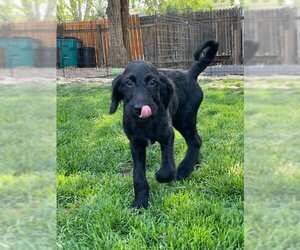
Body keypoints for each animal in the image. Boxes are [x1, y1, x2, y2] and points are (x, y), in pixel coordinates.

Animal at [109, 40, 217, 209]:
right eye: (128, 83)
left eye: (153, 82)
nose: (140, 107)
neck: (145, 123)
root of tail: (189, 74)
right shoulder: (136, 144)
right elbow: (138, 176)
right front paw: (140, 202)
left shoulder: (167, 136)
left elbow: (168, 169)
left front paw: (161, 176)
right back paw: (194, 164)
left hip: (185, 120)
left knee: (195, 141)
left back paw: (184, 169)